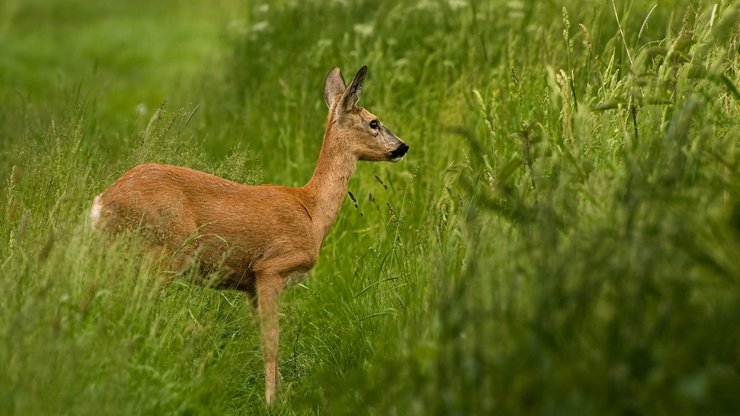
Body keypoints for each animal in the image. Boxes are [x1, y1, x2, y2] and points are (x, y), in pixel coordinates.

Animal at [89, 66, 408, 404]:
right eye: (374, 122)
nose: (403, 147)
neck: (312, 211)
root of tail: (101, 203)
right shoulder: (271, 268)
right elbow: (271, 341)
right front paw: (271, 401)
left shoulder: (250, 286)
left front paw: (280, 393)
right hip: (163, 251)